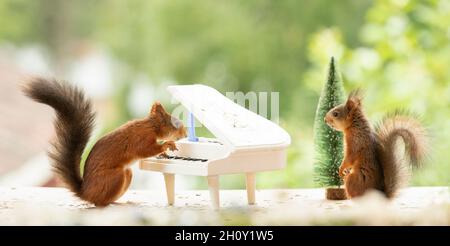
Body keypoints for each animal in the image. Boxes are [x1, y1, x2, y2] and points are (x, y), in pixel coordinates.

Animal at [22, 77, 186, 206]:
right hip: (115, 178)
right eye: (175, 123)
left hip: (126, 175)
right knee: (100, 202)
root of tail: (86, 193)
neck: (151, 126)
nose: (185, 132)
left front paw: (164, 154)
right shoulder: (141, 138)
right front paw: (167, 145)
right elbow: (145, 150)